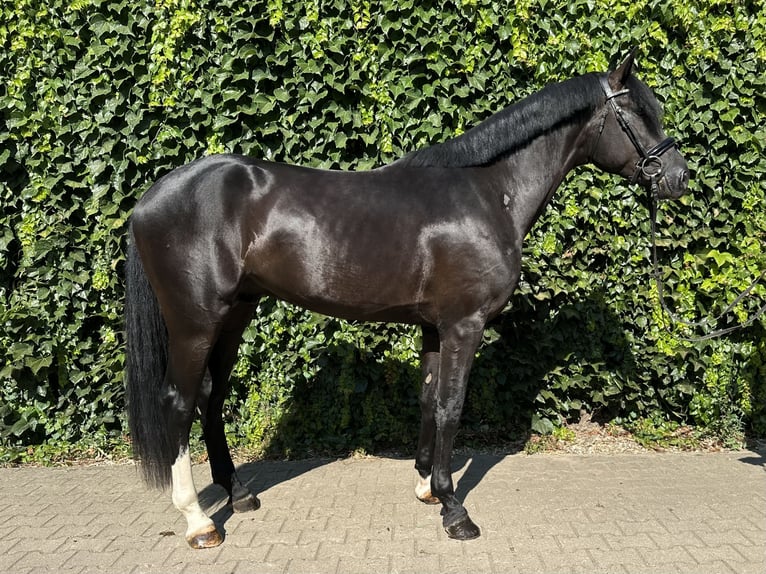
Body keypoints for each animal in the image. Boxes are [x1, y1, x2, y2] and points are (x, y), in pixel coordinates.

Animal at [124, 51, 689, 549]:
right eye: (637, 114)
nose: (679, 178)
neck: (488, 192)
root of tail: (149, 199)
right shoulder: (465, 325)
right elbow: (453, 406)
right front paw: (455, 510)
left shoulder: (435, 327)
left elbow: (429, 400)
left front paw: (426, 488)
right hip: (196, 322)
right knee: (178, 401)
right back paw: (199, 522)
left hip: (235, 313)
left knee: (211, 396)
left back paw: (238, 494)